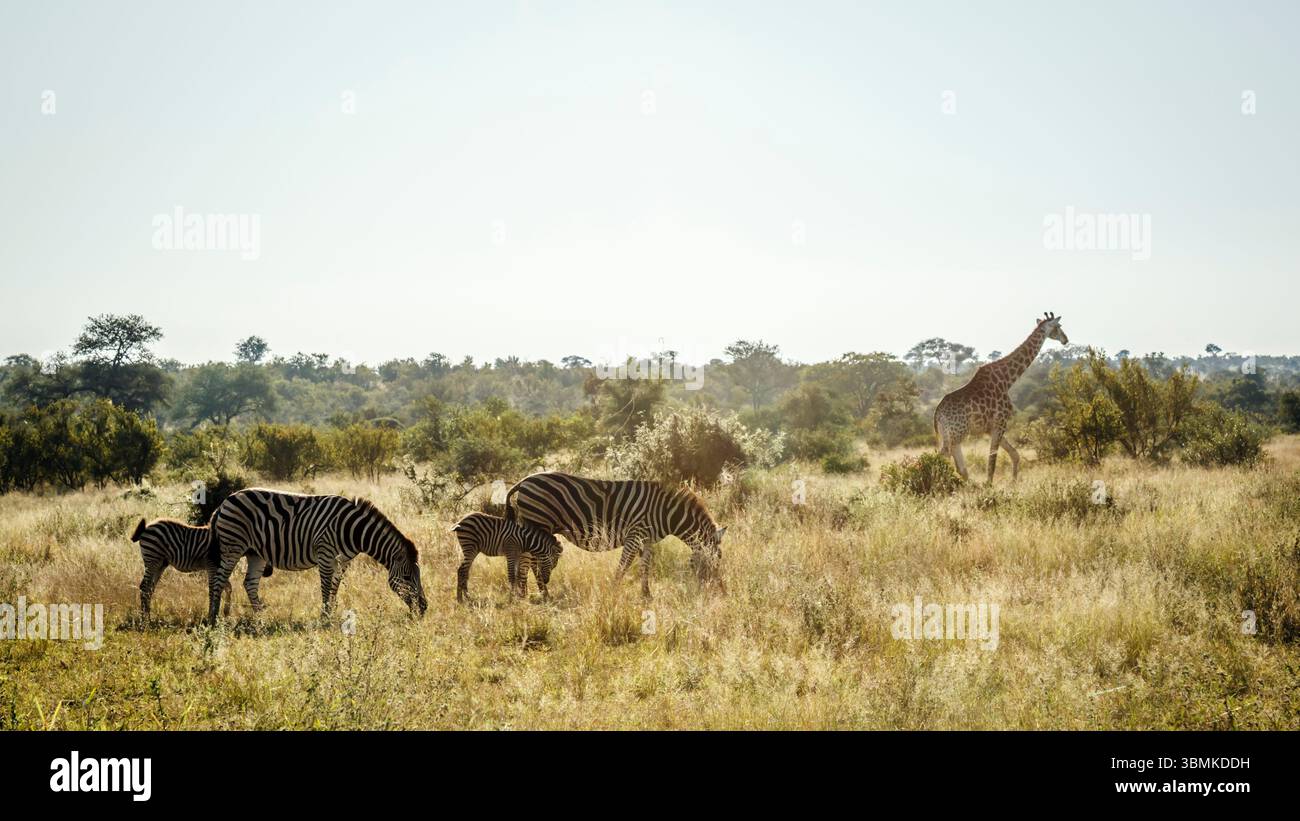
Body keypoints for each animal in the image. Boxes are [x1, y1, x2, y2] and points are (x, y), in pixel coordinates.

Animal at [130, 517, 270, 618]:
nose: (267, 573)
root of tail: (147, 527)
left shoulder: (216, 568)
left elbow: (227, 587)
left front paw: (225, 611)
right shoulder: (212, 567)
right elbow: (213, 590)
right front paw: (212, 614)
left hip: (160, 563)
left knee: (149, 587)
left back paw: (147, 614)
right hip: (152, 559)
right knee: (144, 586)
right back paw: (144, 618)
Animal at [206, 488, 426, 624]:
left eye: (419, 576)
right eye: (407, 577)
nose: (424, 608)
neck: (353, 530)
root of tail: (224, 502)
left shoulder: (343, 561)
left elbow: (335, 586)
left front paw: (334, 613)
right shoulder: (325, 553)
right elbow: (326, 586)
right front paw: (325, 617)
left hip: (255, 553)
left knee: (249, 583)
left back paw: (260, 617)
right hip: (233, 546)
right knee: (218, 580)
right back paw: (213, 617)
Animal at [503, 471, 726, 597]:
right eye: (716, 560)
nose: (720, 591)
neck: (667, 512)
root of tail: (523, 481)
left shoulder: (647, 540)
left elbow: (645, 566)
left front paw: (646, 594)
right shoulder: (635, 533)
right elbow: (624, 565)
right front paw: (613, 591)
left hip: (534, 524)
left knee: (528, 558)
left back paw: (527, 592)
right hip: (538, 522)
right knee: (530, 560)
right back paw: (540, 593)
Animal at [933, 312, 1069, 483]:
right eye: (1058, 326)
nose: (1066, 340)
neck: (1006, 380)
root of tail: (937, 414)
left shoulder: (991, 428)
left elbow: (1014, 454)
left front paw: (1013, 482)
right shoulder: (1000, 422)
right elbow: (992, 461)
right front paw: (989, 485)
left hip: (953, 436)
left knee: (960, 468)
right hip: (956, 434)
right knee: (941, 459)